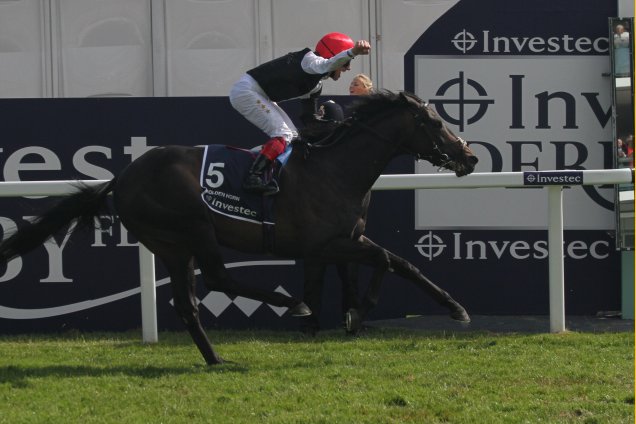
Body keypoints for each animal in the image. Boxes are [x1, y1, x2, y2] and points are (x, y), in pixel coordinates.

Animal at [0, 90, 476, 364]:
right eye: (435, 122)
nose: (469, 157)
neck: (336, 168)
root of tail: (122, 177)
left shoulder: (345, 239)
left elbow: (401, 262)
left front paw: (454, 307)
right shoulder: (327, 243)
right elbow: (386, 259)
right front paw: (358, 310)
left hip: (170, 245)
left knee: (188, 304)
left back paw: (215, 359)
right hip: (192, 227)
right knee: (217, 278)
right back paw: (287, 305)